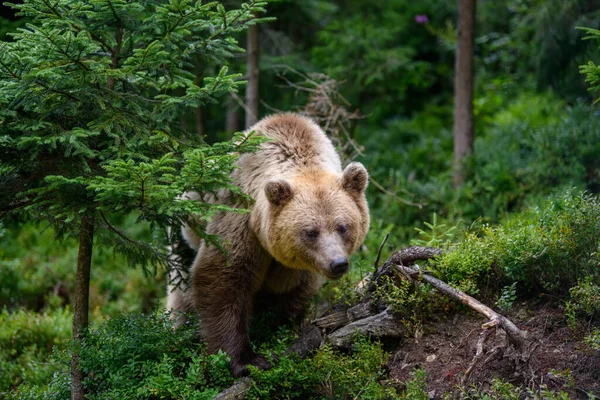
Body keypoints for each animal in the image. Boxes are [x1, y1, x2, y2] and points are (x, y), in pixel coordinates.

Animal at [166, 113, 368, 378]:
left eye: (343, 227)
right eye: (310, 232)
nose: (338, 263)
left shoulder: (298, 267)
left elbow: (290, 295)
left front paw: (279, 328)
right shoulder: (240, 218)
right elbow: (223, 277)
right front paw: (245, 360)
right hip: (183, 237)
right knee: (180, 293)